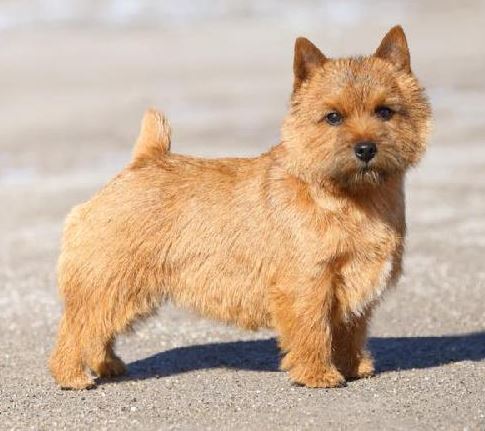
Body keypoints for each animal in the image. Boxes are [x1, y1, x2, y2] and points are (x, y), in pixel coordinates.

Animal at [49, 25, 431, 389]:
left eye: (385, 111)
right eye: (333, 117)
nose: (365, 148)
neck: (350, 197)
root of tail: (142, 161)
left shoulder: (357, 280)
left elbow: (351, 330)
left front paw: (353, 367)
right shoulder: (308, 283)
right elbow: (313, 331)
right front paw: (318, 375)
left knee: (98, 332)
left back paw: (109, 365)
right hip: (111, 280)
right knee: (77, 327)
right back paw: (72, 376)